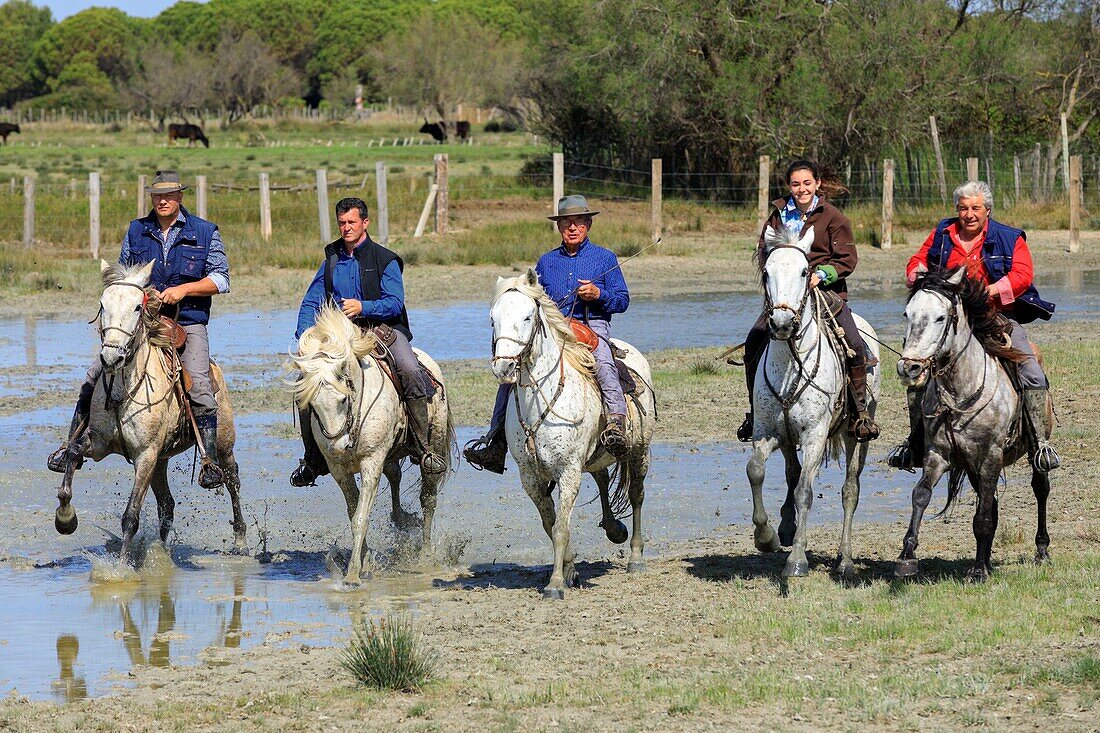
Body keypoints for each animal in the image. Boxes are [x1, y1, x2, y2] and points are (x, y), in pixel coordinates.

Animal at [290, 301, 453, 581]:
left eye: (343, 399)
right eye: (311, 405)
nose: (339, 447)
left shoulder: (371, 461)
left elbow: (360, 518)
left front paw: (353, 574)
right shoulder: (339, 469)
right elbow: (353, 512)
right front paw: (363, 562)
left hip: (433, 447)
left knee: (428, 499)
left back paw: (425, 555)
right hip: (390, 455)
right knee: (395, 476)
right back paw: (401, 519)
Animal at [488, 270, 651, 598]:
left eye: (527, 317)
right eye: (492, 319)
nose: (504, 368)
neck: (540, 400)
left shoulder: (568, 470)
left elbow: (561, 527)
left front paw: (555, 583)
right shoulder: (530, 476)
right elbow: (550, 525)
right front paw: (570, 571)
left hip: (640, 450)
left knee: (637, 495)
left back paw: (635, 557)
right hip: (596, 455)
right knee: (602, 477)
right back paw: (614, 529)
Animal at [743, 224, 880, 576]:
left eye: (805, 271)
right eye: (767, 272)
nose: (781, 324)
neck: (790, 365)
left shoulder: (815, 435)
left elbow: (806, 491)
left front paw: (797, 560)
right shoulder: (767, 430)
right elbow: (756, 471)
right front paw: (766, 536)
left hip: (855, 435)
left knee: (850, 490)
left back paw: (845, 560)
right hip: (788, 438)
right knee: (792, 474)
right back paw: (786, 528)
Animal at [897, 265, 1051, 581]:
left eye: (941, 317)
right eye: (908, 314)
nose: (910, 368)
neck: (960, 392)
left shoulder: (991, 456)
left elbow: (982, 518)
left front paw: (978, 571)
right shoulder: (938, 455)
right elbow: (921, 495)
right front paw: (907, 555)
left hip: (1033, 450)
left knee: (1039, 487)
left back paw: (1040, 550)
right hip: (972, 467)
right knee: (990, 503)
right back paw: (989, 559)